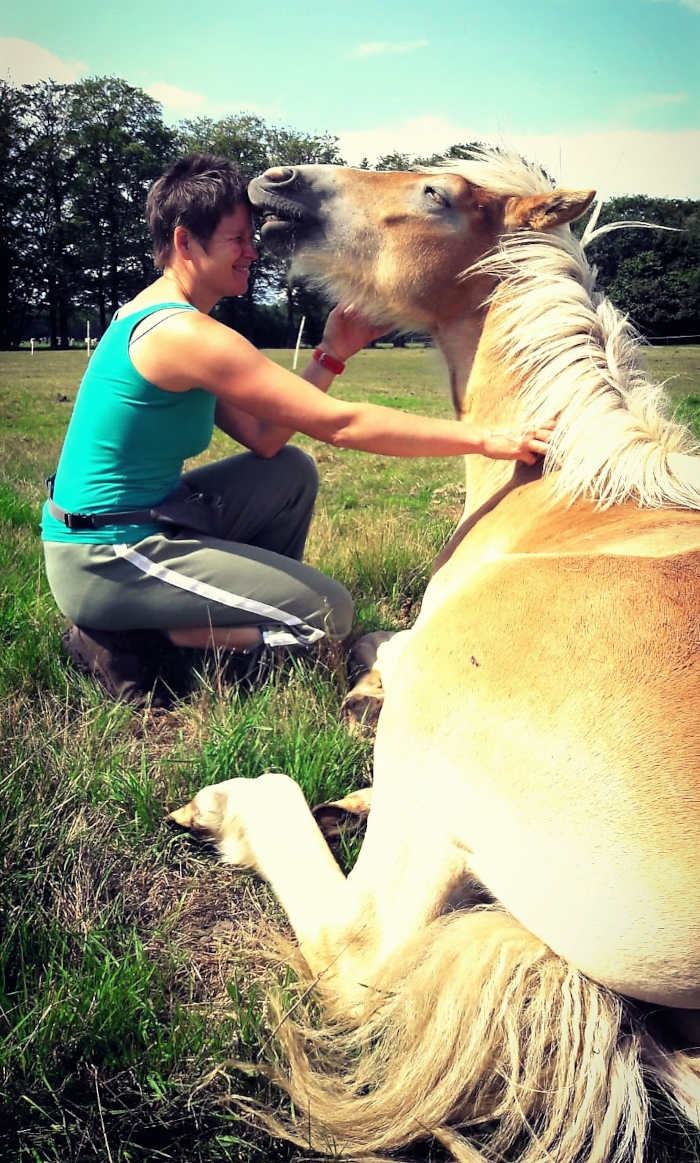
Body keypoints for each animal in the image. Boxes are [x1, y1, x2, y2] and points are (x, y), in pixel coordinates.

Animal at [169, 150, 697, 1158]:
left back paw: (231, 808)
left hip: (436, 732)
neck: (566, 496)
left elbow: (376, 648)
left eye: (435, 194)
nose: (276, 180)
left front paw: (354, 709)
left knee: (354, 946)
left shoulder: (424, 662)